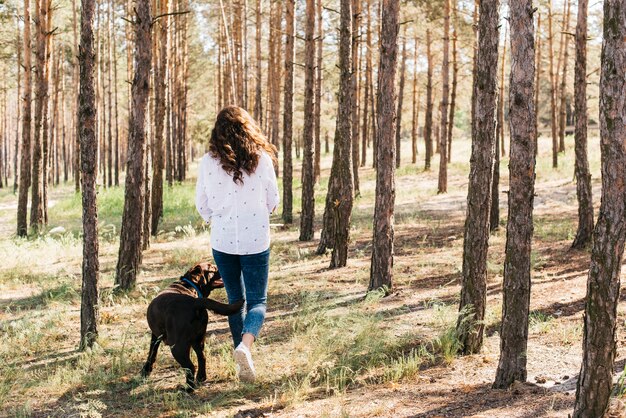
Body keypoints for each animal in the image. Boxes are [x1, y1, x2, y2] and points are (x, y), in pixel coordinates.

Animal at [140, 262, 243, 390]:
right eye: (212, 268)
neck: (189, 285)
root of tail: (194, 302)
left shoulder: (155, 335)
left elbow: (151, 353)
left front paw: (146, 370)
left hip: (177, 347)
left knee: (190, 366)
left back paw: (188, 388)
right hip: (198, 340)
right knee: (202, 357)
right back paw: (201, 378)